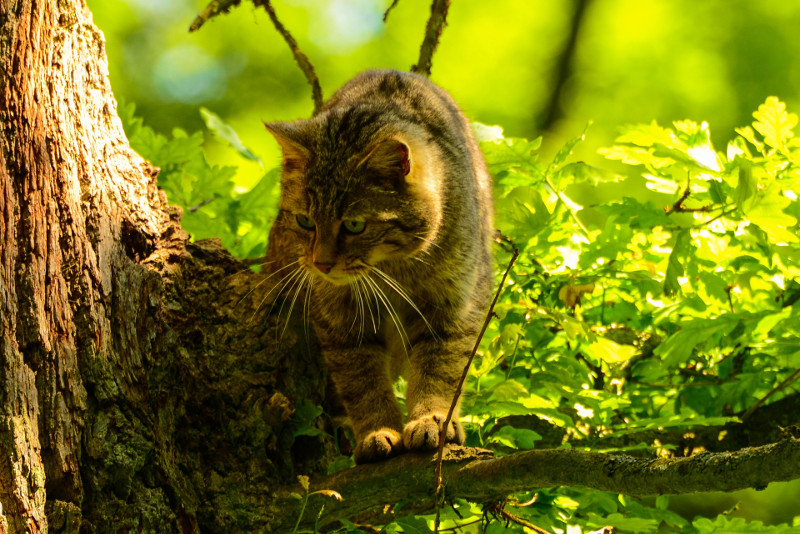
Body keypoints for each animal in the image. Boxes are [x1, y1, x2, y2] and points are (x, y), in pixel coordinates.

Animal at [266, 70, 494, 464]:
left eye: (355, 225)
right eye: (305, 221)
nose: (321, 263)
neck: (392, 270)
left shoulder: (453, 308)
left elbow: (440, 371)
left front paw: (432, 419)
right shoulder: (341, 322)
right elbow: (363, 383)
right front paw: (377, 431)